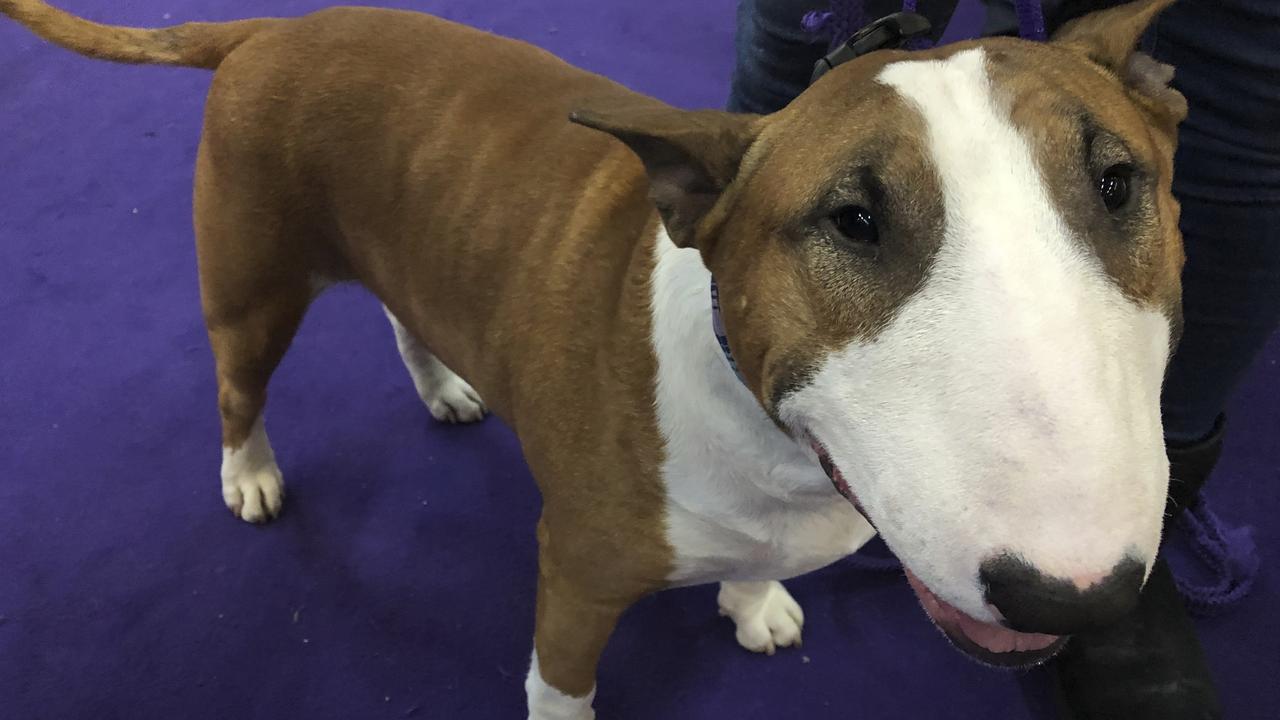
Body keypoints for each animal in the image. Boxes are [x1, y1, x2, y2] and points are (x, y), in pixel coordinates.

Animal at [2, 1, 1187, 712]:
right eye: (852, 221)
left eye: (1118, 184)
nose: (1076, 597)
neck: (772, 446)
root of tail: (277, 27)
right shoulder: (573, 572)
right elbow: (562, 685)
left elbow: (751, 569)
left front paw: (753, 601)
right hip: (251, 288)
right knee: (236, 386)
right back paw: (249, 474)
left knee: (402, 315)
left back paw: (444, 387)